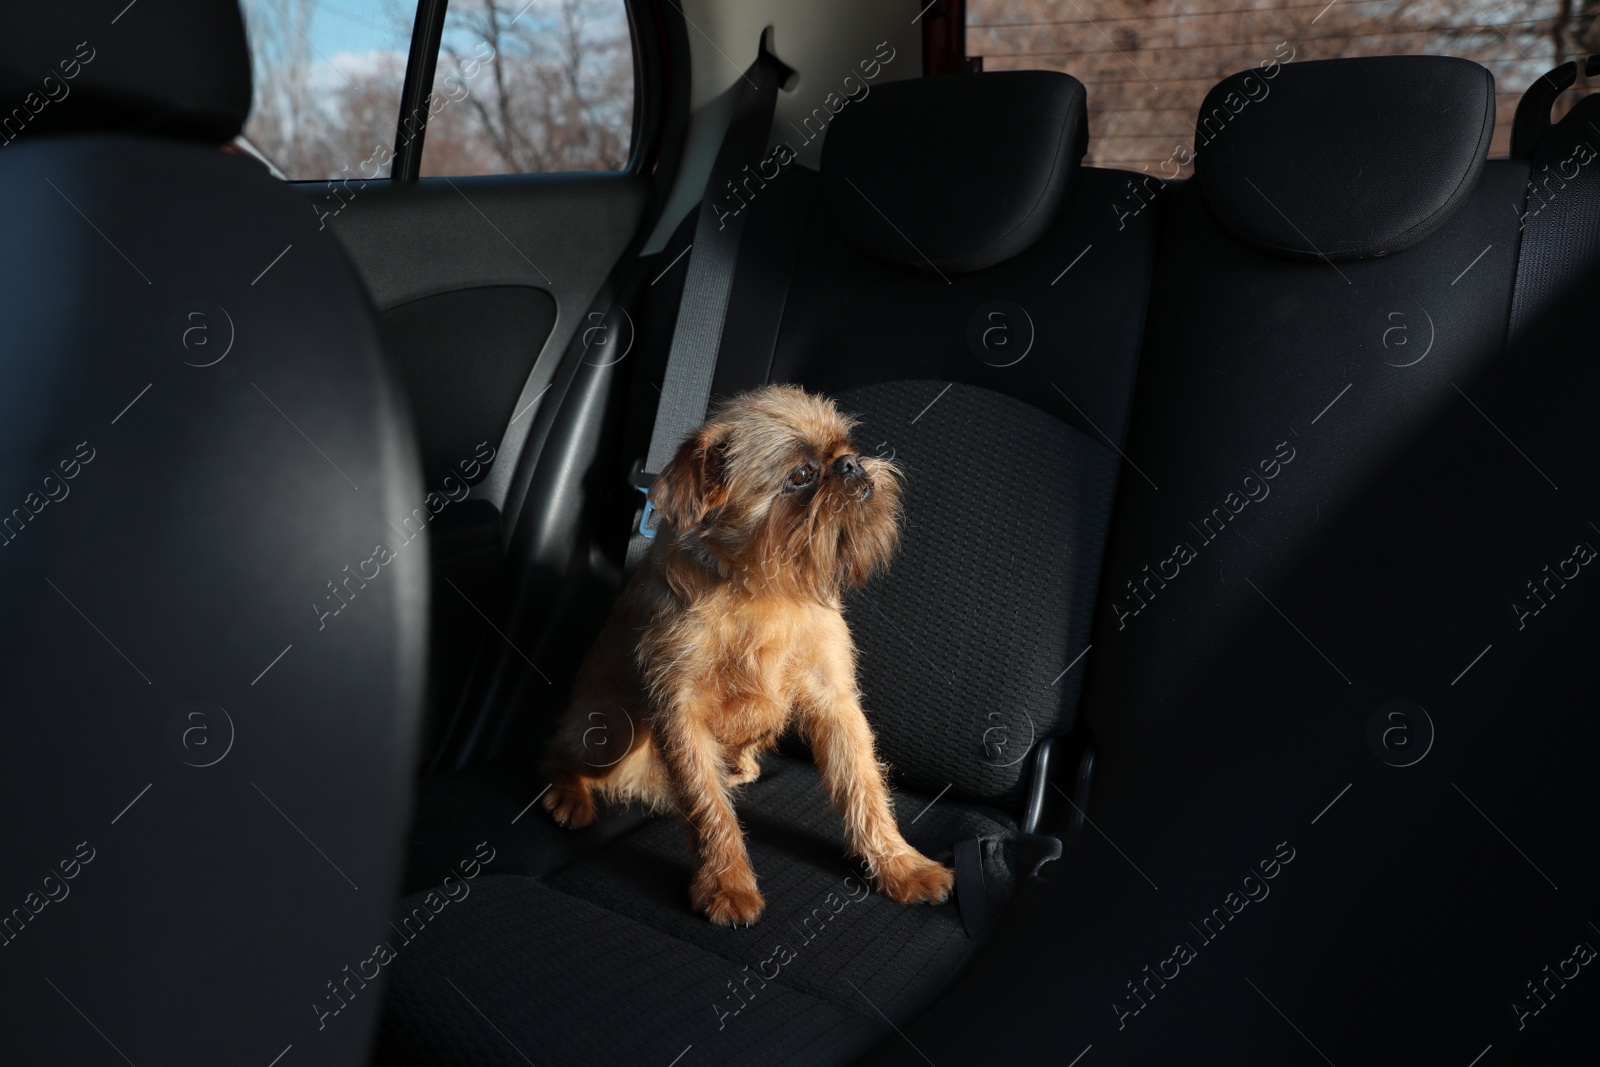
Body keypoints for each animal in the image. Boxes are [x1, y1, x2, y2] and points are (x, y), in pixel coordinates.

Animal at [544, 383, 953, 927]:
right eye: (801, 475)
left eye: (846, 449)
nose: (850, 465)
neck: (764, 587)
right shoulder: (681, 713)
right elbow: (708, 807)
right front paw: (727, 884)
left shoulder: (835, 702)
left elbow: (864, 786)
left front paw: (900, 864)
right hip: (609, 733)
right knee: (561, 750)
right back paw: (569, 794)